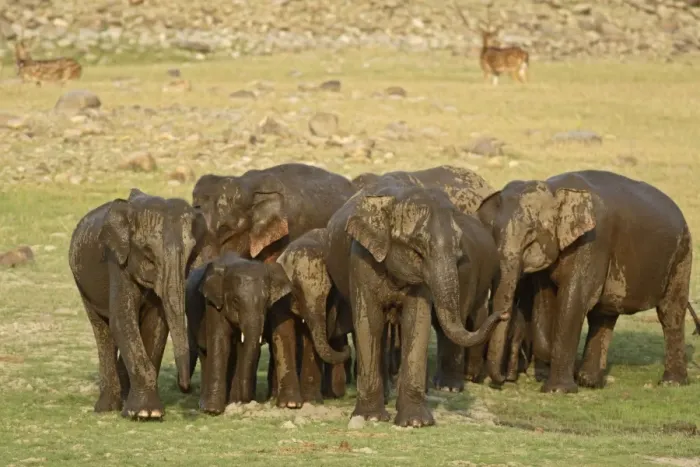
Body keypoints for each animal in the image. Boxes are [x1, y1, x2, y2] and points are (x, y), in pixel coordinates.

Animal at [68, 188, 206, 420]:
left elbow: (157, 324)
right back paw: (106, 408)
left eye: (191, 254)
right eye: (148, 253)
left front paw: (146, 412)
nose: (186, 387)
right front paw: (145, 413)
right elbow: (122, 319)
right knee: (102, 330)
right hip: (83, 286)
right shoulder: (116, 262)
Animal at [184, 252, 291, 414]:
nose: (249, 400)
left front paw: (236, 403)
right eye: (235, 301)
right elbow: (220, 342)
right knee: (204, 353)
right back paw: (204, 404)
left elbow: (241, 348)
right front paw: (212, 410)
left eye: (266, 301)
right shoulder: (213, 302)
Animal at [325, 169, 507, 427]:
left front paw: (416, 422)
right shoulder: (361, 257)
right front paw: (370, 417)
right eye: (418, 248)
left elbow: (416, 320)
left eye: (458, 248)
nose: (504, 314)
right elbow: (369, 322)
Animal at [477, 170, 699, 393]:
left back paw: (672, 382)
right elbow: (545, 301)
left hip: (683, 254)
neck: (555, 189)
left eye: (531, 235)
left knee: (670, 313)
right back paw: (591, 382)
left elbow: (574, 300)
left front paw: (558, 390)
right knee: (604, 315)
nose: (503, 379)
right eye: (493, 233)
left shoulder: (592, 241)